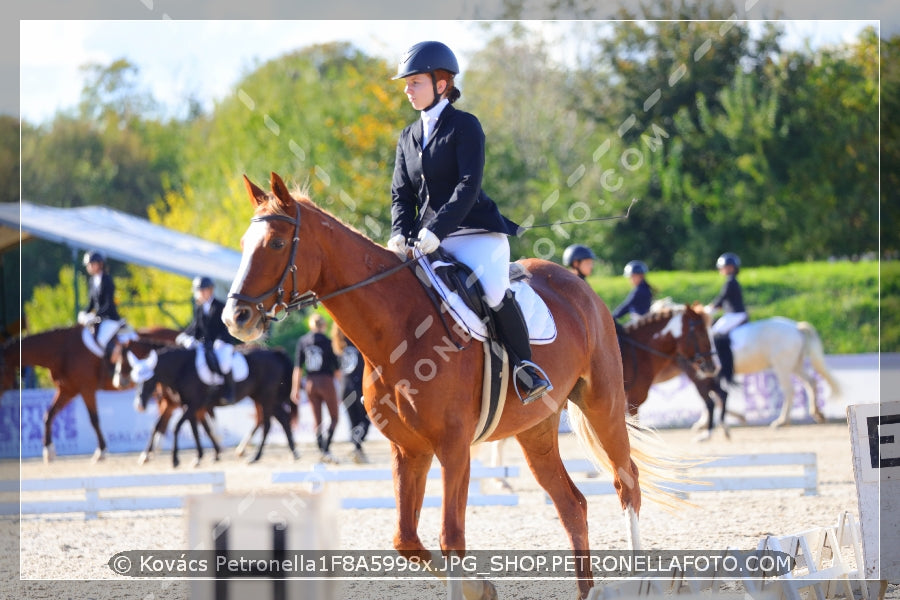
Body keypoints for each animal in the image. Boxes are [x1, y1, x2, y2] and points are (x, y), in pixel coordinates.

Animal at [128, 342, 298, 468]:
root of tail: (274, 353)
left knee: (268, 424)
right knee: (282, 419)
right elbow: (197, 429)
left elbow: (178, 427)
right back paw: (293, 452)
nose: (139, 405)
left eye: (148, 379)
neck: (183, 368)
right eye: (136, 381)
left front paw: (175, 459)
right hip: (264, 397)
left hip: (266, 397)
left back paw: (255, 457)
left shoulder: (194, 405)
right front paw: (200, 456)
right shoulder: (190, 406)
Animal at [221, 172, 684, 600]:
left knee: (627, 483)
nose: (235, 318)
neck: (397, 330)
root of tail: (579, 286)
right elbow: (406, 539)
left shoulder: (454, 446)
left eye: (276, 244)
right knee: (572, 504)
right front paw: (480, 588)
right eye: (243, 243)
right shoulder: (409, 449)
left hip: (603, 403)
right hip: (535, 429)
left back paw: (641, 580)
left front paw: (473, 586)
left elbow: (451, 536)